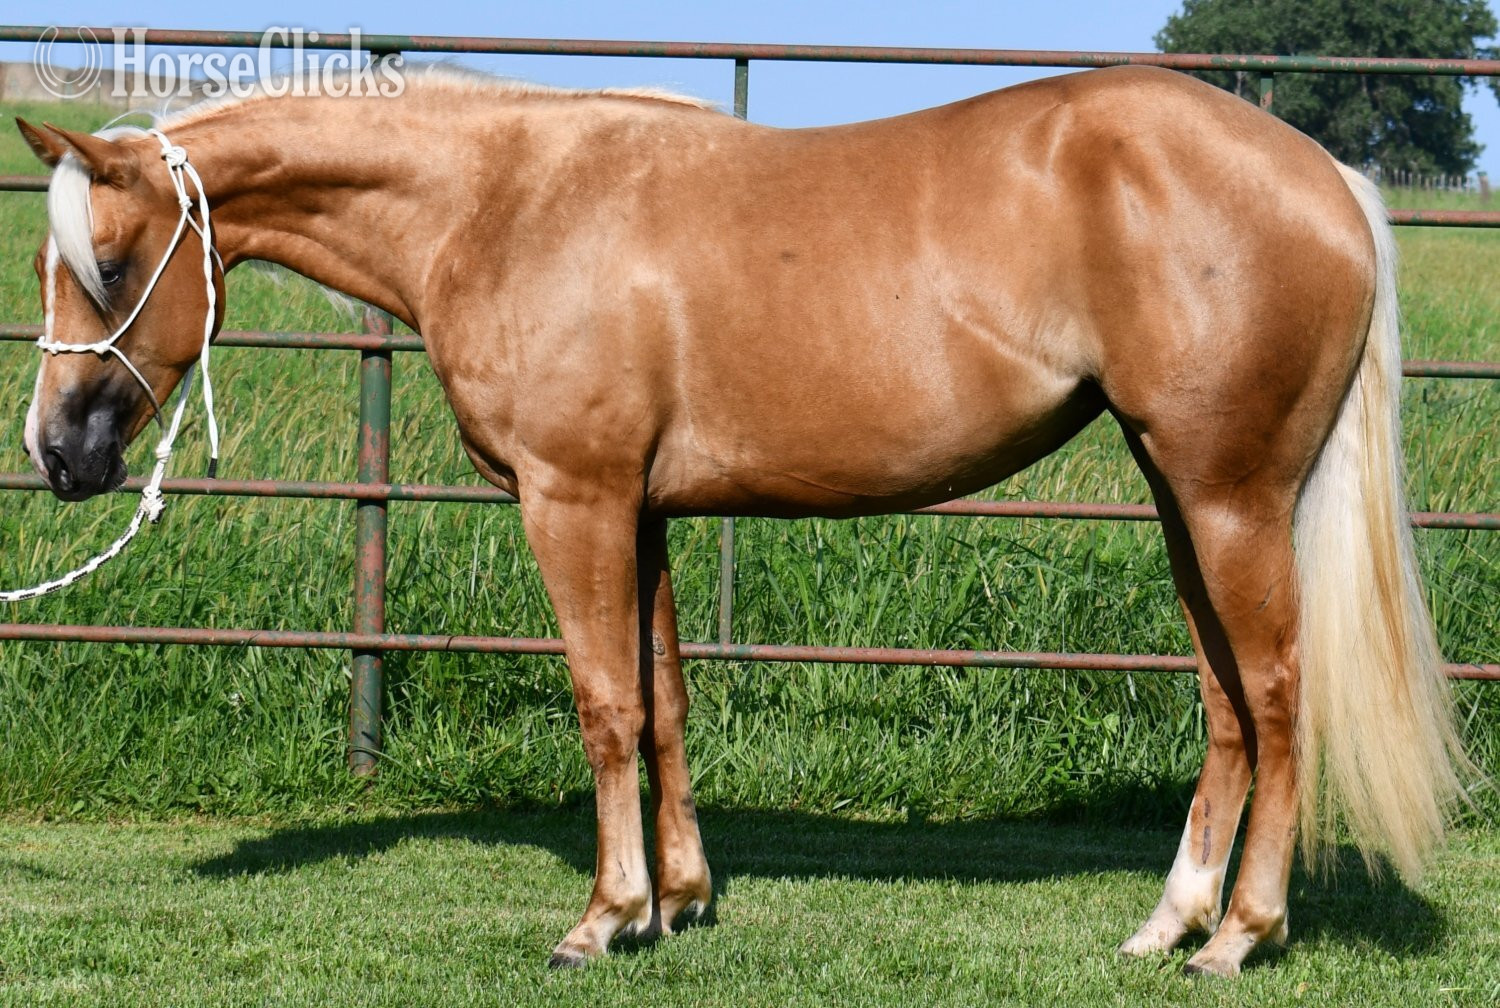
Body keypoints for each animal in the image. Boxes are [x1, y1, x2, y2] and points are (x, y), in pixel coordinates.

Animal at [15, 63, 1467, 976]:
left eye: (114, 265)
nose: (58, 453)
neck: (504, 203)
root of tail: (1327, 177)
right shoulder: (644, 509)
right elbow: (663, 699)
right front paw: (680, 902)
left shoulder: (575, 500)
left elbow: (604, 703)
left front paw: (602, 919)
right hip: (1185, 497)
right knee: (1226, 704)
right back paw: (1170, 925)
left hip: (1227, 497)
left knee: (1277, 696)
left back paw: (1242, 935)